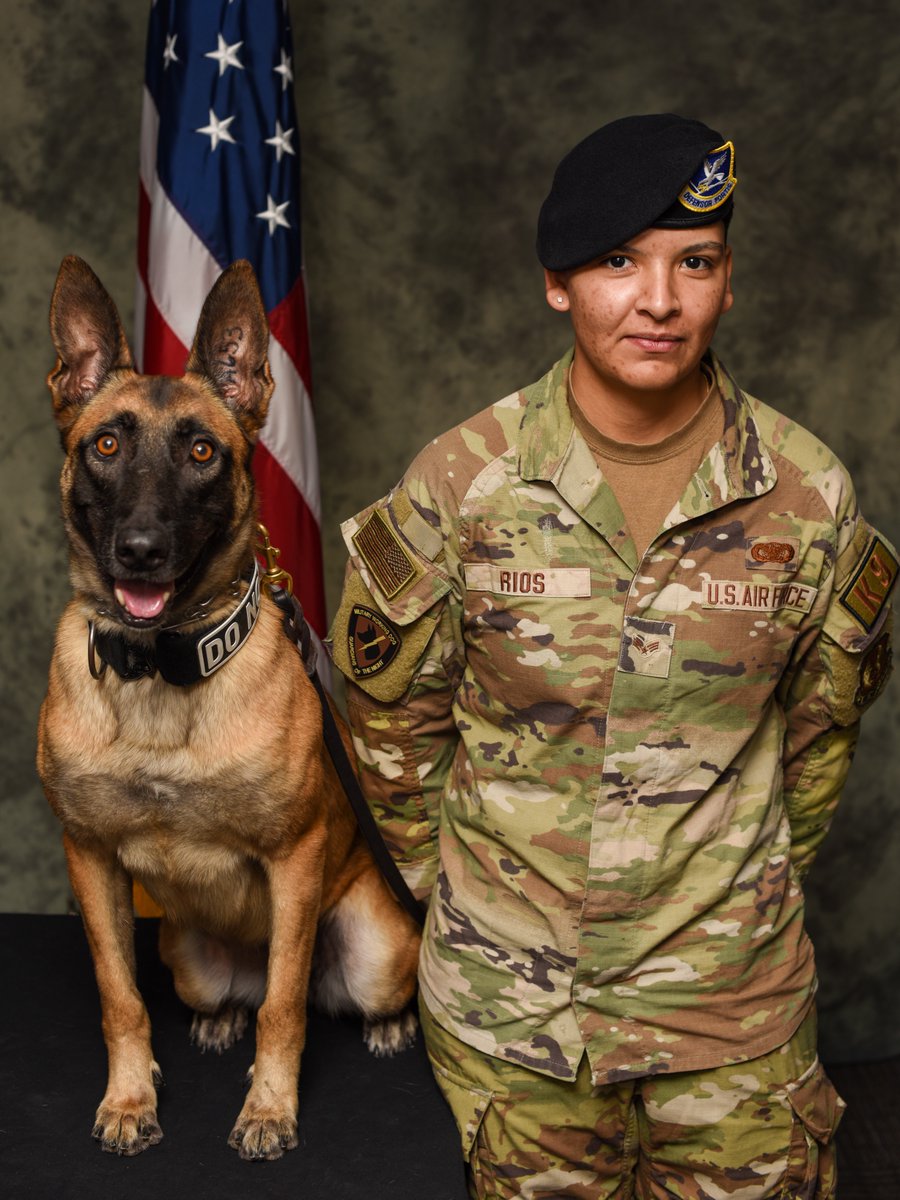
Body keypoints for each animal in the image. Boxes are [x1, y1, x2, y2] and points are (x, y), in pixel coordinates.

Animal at [37, 255, 424, 1161]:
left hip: (373, 940)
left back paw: (385, 1028)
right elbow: (120, 998)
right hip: (183, 949)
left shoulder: (296, 857)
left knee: (310, 990)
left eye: (203, 452)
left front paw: (269, 1111)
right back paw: (218, 1021)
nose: (140, 551)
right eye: (106, 444)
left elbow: (283, 1012)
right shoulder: (90, 859)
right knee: (236, 994)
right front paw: (130, 1099)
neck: (161, 670)